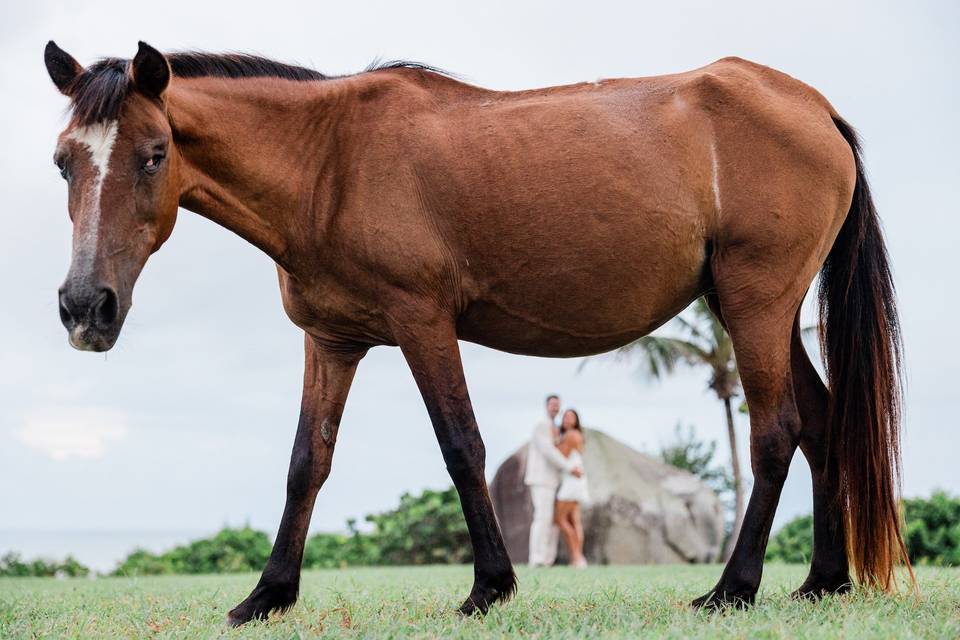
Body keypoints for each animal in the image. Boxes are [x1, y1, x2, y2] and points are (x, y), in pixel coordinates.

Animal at [44, 40, 911, 625]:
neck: (330, 162)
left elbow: (461, 446)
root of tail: (813, 106)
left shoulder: (423, 322)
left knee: (776, 431)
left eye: (155, 154)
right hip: (763, 310)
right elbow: (305, 465)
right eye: (62, 163)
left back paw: (733, 588)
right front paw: (268, 594)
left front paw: (489, 586)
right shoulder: (331, 342)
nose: (87, 308)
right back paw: (822, 581)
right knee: (823, 425)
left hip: (754, 304)